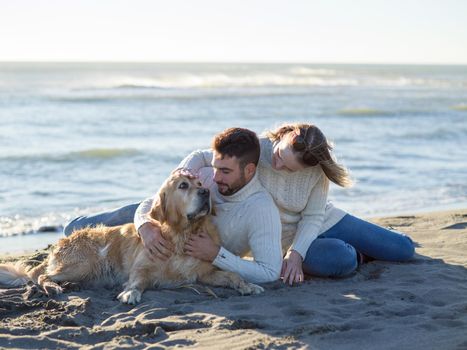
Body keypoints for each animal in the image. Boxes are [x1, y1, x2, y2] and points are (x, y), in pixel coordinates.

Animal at [0, 172, 264, 304]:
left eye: (200, 183)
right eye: (183, 186)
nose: (206, 192)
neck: (182, 233)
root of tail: (59, 244)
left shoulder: (203, 272)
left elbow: (232, 275)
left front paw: (248, 285)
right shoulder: (142, 266)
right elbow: (138, 280)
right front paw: (130, 293)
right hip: (85, 263)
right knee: (41, 276)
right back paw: (54, 287)